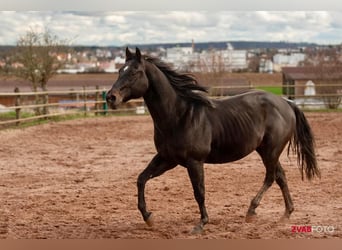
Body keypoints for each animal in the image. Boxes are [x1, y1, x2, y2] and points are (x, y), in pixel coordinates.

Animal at [105, 47, 320, 234]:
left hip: (271, 151)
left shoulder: (194, 162)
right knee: (280, 176)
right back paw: (285, 214)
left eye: (135, 72)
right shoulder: (168, 159)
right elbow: (141, 179)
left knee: (270, 177)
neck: (179, 115)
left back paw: (251, 211)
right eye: (120, 70)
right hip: (266, 151)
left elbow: (199, 192)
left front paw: (201, 224)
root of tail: (286, 103)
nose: (111, 97)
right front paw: (148, 217)